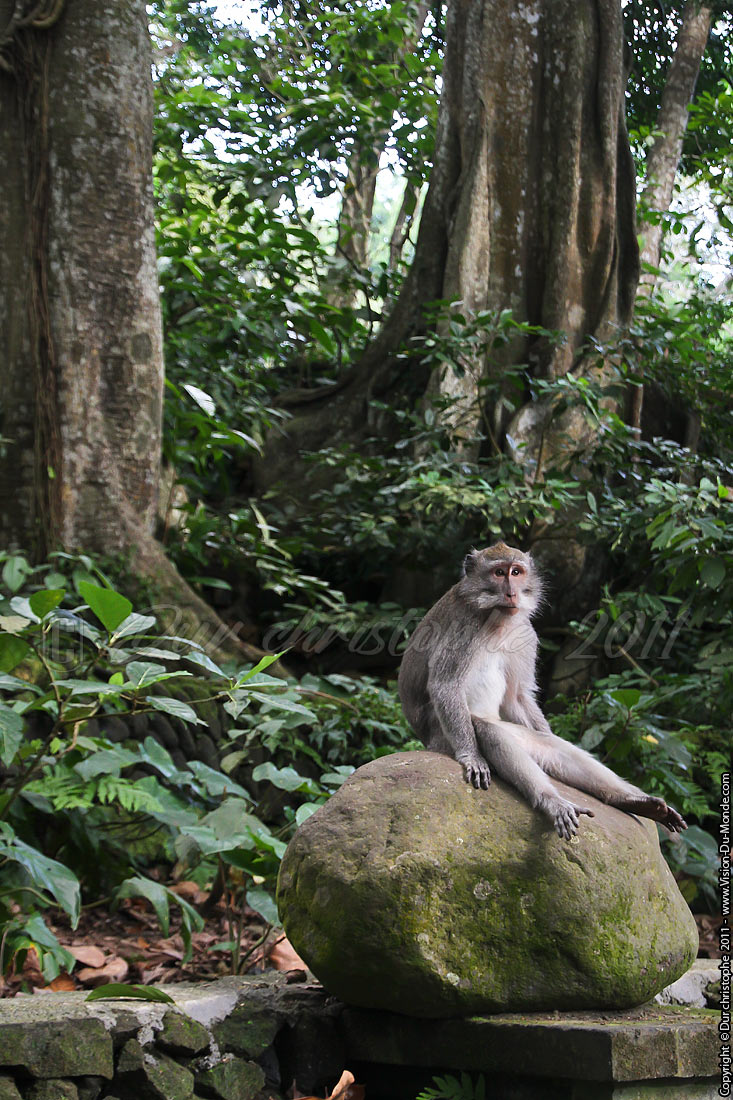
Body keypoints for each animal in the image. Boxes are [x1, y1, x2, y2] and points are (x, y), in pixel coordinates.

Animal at [398, 542, 687, 840]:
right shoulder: (464, 626)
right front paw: (472, 756)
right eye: (499, 573)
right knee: (489, 732)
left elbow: (517, 697)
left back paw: (630, 800)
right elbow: (446, 685)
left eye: (516, 572)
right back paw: (552, 801)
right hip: (441, 737)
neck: (497, 618)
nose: (511, 592)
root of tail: (425, 741)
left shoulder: (525, 632)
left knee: (548, 746)